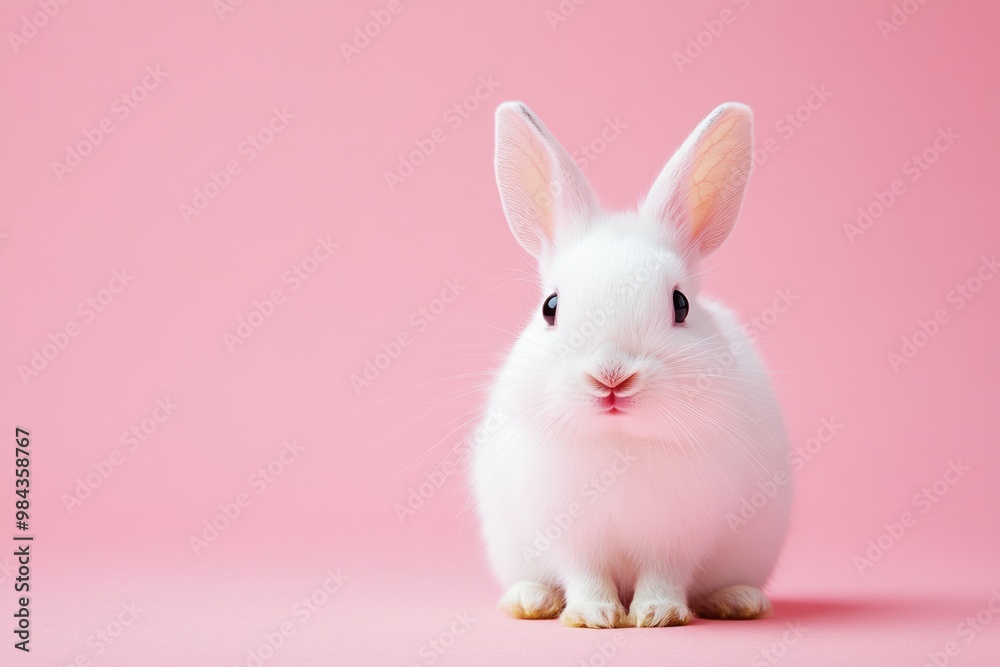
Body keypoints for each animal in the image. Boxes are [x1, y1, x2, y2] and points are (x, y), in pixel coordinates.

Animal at [471, 101, 791, 628]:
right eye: (550, 306)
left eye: (681, 304)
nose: (611, 376)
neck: (619, 443)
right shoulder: (571, 537)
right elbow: (585, 575)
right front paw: (594, 616)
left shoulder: (677, 537)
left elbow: (663, 575)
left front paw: (658, 614)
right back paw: (531, 600)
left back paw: (738, 601)